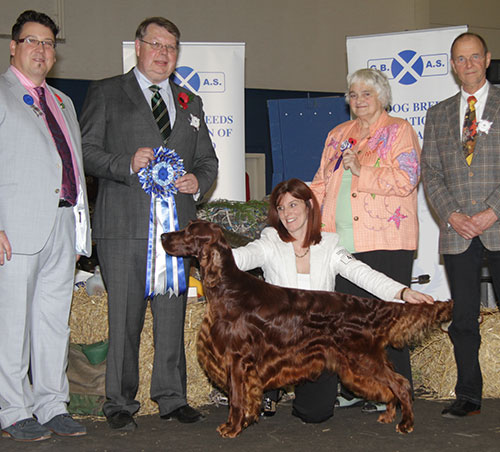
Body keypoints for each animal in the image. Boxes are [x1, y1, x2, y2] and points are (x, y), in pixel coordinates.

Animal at [162, 220, 452, 438]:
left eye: (189, 231)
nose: (163, 235)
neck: (228, 288)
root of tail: (370, 306)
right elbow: (244, 397)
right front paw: (245, 421)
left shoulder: (236, 358)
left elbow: (235, 397)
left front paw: (232, 428)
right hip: (356, 364)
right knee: (388, 387)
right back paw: (389, 414)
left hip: (362, 358)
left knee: (400, 384)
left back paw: (406, 423)